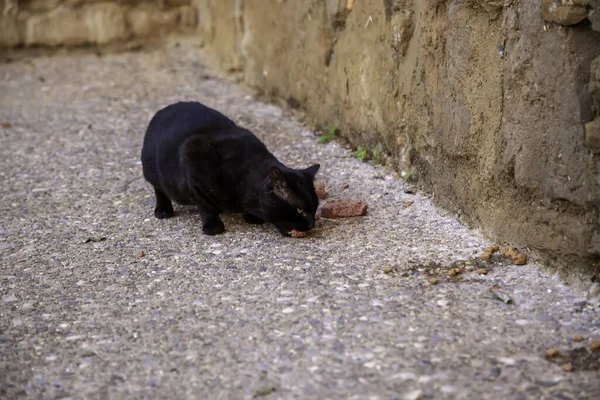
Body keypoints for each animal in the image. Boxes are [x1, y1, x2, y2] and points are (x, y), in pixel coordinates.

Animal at [141, 101, 322, 236]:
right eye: (299, 210)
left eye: (315, 208)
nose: (311, 224)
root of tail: (166, 109)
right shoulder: (194, 156)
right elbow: (205, 204)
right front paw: (213, 226)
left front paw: (251, 217)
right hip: (154, 171)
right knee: (160, 189)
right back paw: (163, 209)